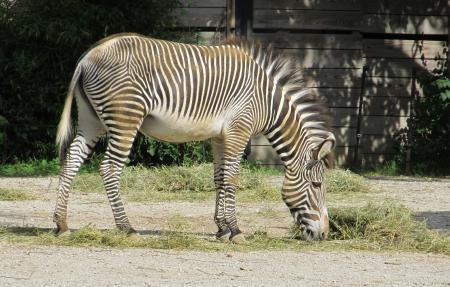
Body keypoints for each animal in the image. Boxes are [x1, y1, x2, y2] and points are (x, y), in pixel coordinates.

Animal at [54, 32, 334, 242]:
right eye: (317, 185)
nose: (324, 235)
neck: (267, 102)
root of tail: (89, 55)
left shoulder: (220, 136)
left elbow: (220, 178)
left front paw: (222, 229)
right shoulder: (239, 130)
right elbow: (232, 178)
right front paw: (236, 230)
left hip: (91, 120)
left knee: (71, 160)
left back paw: (61, 224)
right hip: (125, 118)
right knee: (109, 168)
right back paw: (127, 228)